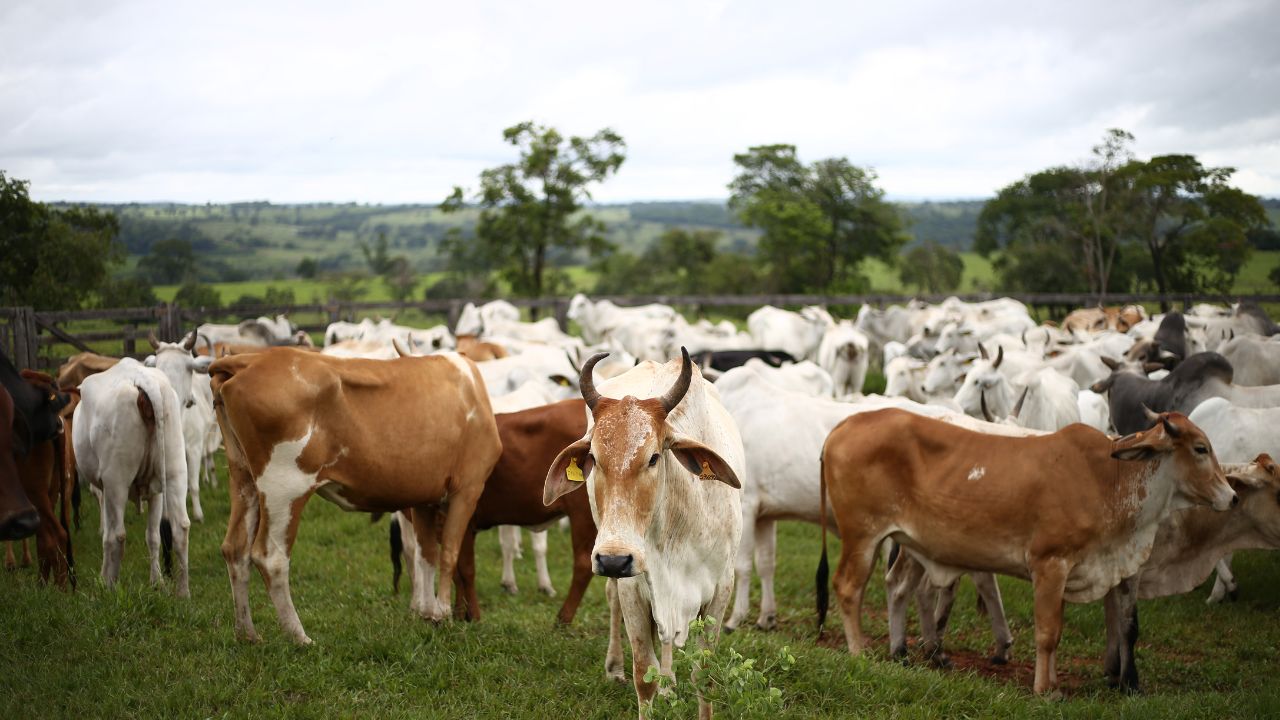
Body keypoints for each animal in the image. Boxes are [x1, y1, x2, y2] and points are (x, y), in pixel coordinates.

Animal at [73, 358, 192, 597]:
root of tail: (142, 379)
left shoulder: (105, 489)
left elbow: (107, 534)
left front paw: (103, 578)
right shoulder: (156, 493)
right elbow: (153, 536)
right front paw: (157, 582)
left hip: (117, 481)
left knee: (118, 535)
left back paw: (111, 588)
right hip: (174, 471)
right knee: (180, 528)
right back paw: (183, 593)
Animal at [208, 347, 502, 644]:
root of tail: (251, 359)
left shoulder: (424, 498)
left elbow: (426, 554)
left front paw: (429, 614)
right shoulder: (468, 488)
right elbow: (449, 553)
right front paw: (443, 614)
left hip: (243, 478)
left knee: (235, 549)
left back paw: (247, 634)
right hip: (284, 487)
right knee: (271, 558)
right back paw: (300, 637)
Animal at [543, 349, 743, 718]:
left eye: (653, 457)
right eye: (594, 458)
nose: (614, 560)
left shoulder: (721, 587)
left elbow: (705, 676)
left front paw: (673, 682)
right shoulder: (633, 586)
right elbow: (643, 676)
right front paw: (645, 680)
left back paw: (669, 682)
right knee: (614, 602)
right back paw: (616, 667)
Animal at [818, 407, 1236, 694]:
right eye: (1201, 448)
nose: (1231, 496)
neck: (1109, 480)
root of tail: (844, 426)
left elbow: (1071, 630)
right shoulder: (1050, 564)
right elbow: (1047, 632)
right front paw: (1044, 689)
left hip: (903, 542)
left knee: (896, 587)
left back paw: (900, 652)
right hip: (862, 536)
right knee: (848, 588)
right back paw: (859, 652)